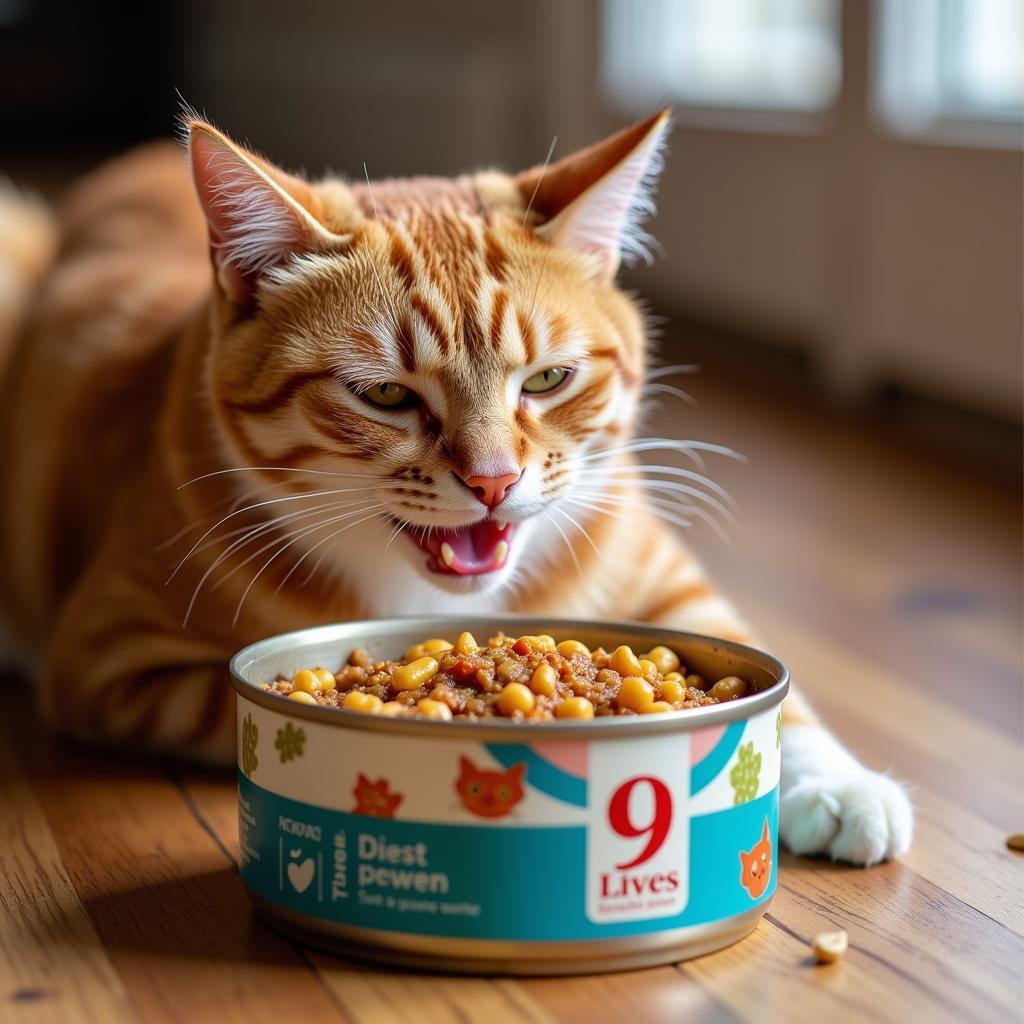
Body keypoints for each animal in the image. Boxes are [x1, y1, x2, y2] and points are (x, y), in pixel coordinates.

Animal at [0, 108, 913, 864]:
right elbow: (230, 710)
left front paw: (839, 785)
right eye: (384, 395)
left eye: (547, 379)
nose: (494, 482)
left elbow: (770, 684)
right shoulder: (110, 659)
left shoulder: (661, 575)